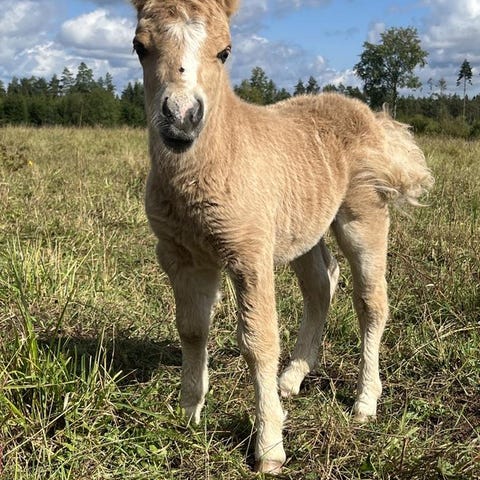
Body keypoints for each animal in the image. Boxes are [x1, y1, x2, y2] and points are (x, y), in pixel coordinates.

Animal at [130, 0, 433, 473]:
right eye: (139, 47)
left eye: (225, 51)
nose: (181, 119)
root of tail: (370, 116)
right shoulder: (181, 254)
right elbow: (192, 329)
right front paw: (189, 413)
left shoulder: (249, 254)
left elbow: (259, 342)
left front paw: (269, 446)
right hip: (304, 226)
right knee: (321, 284)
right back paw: (292, 378)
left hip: (362, 214)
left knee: (371, 301)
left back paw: (365, 402)